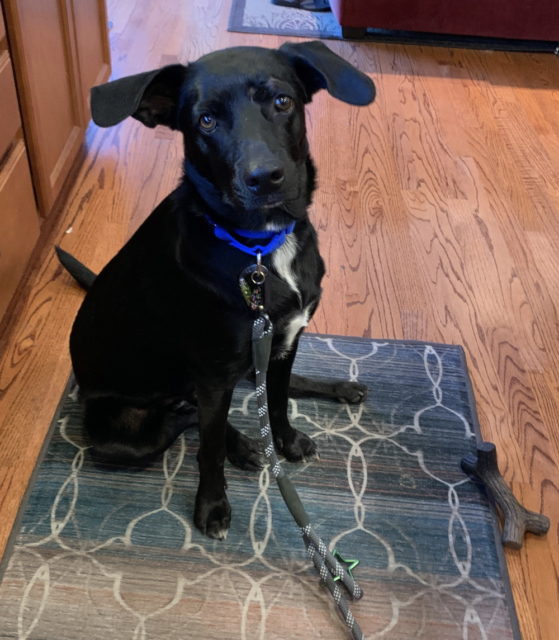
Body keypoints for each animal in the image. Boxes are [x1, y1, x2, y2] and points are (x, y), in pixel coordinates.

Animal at [59, 41, 376, 540]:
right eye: (206, 120)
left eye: (282, 101)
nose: (264, 178)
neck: (261, 249)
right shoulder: (211, 374)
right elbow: (207, 448)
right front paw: (212, 505)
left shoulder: (284, 342)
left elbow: (279, 402)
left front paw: (285, 441)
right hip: (123, 435)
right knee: (186, 416)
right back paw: (241, 444)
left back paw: (336, 390)